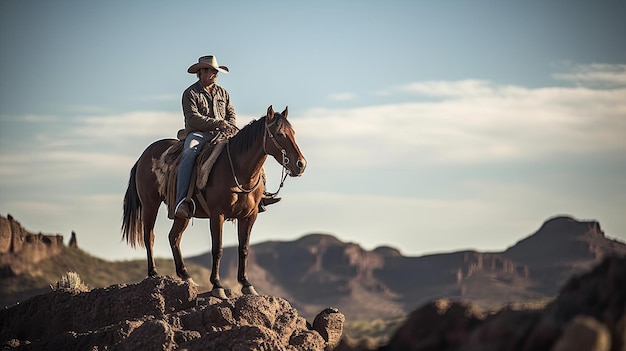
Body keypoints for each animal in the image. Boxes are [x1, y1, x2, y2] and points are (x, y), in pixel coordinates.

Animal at [120, 106, 304, 298]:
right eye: (279, 134)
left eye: (293, 133)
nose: (301, 164)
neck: (239, 170)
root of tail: (143, 156)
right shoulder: (217, 214)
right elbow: (218, 249)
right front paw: (217, 285)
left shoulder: (249, 216)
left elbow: (244, 248)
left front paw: (246, 284)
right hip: (150, 205)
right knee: (149, 235)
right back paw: (154, 273)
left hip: (182, 214)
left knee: (174, 237)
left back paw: (186, 276)